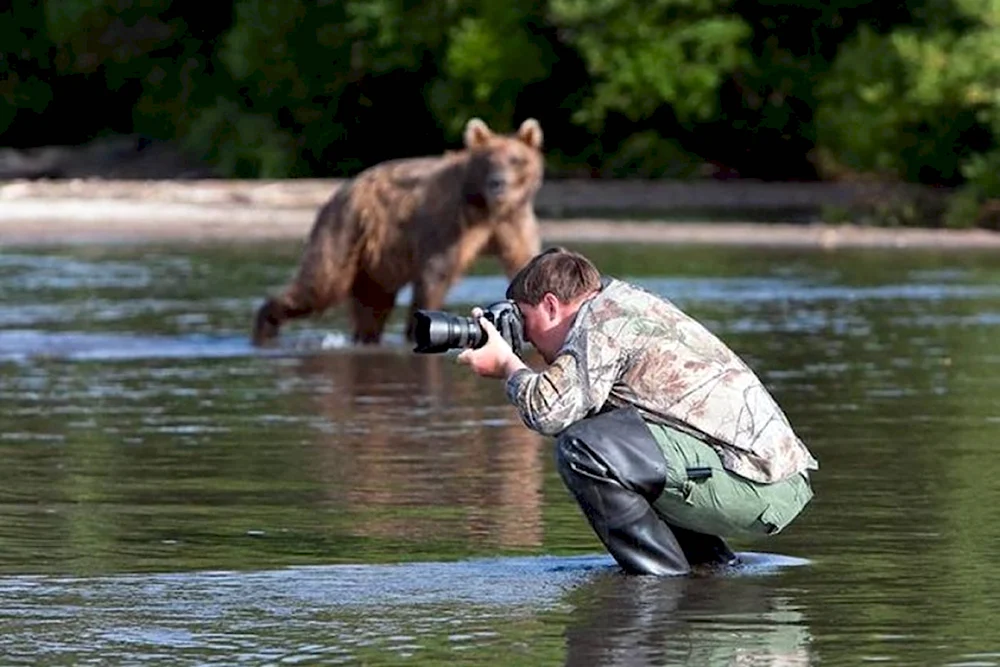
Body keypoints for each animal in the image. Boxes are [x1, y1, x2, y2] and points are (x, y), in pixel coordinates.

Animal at [254, 120, 544, 348]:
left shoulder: (513, 222)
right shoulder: (449, 221)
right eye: (488, 161)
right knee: (320, 285)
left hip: (375, 260)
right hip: (345, 230)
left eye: (516, 160)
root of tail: (341, 191)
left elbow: (523, 261)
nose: (498, 184)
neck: (487, 208)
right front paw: (416, 329)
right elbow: (435, 274)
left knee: (372, 305)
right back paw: (265, 327)